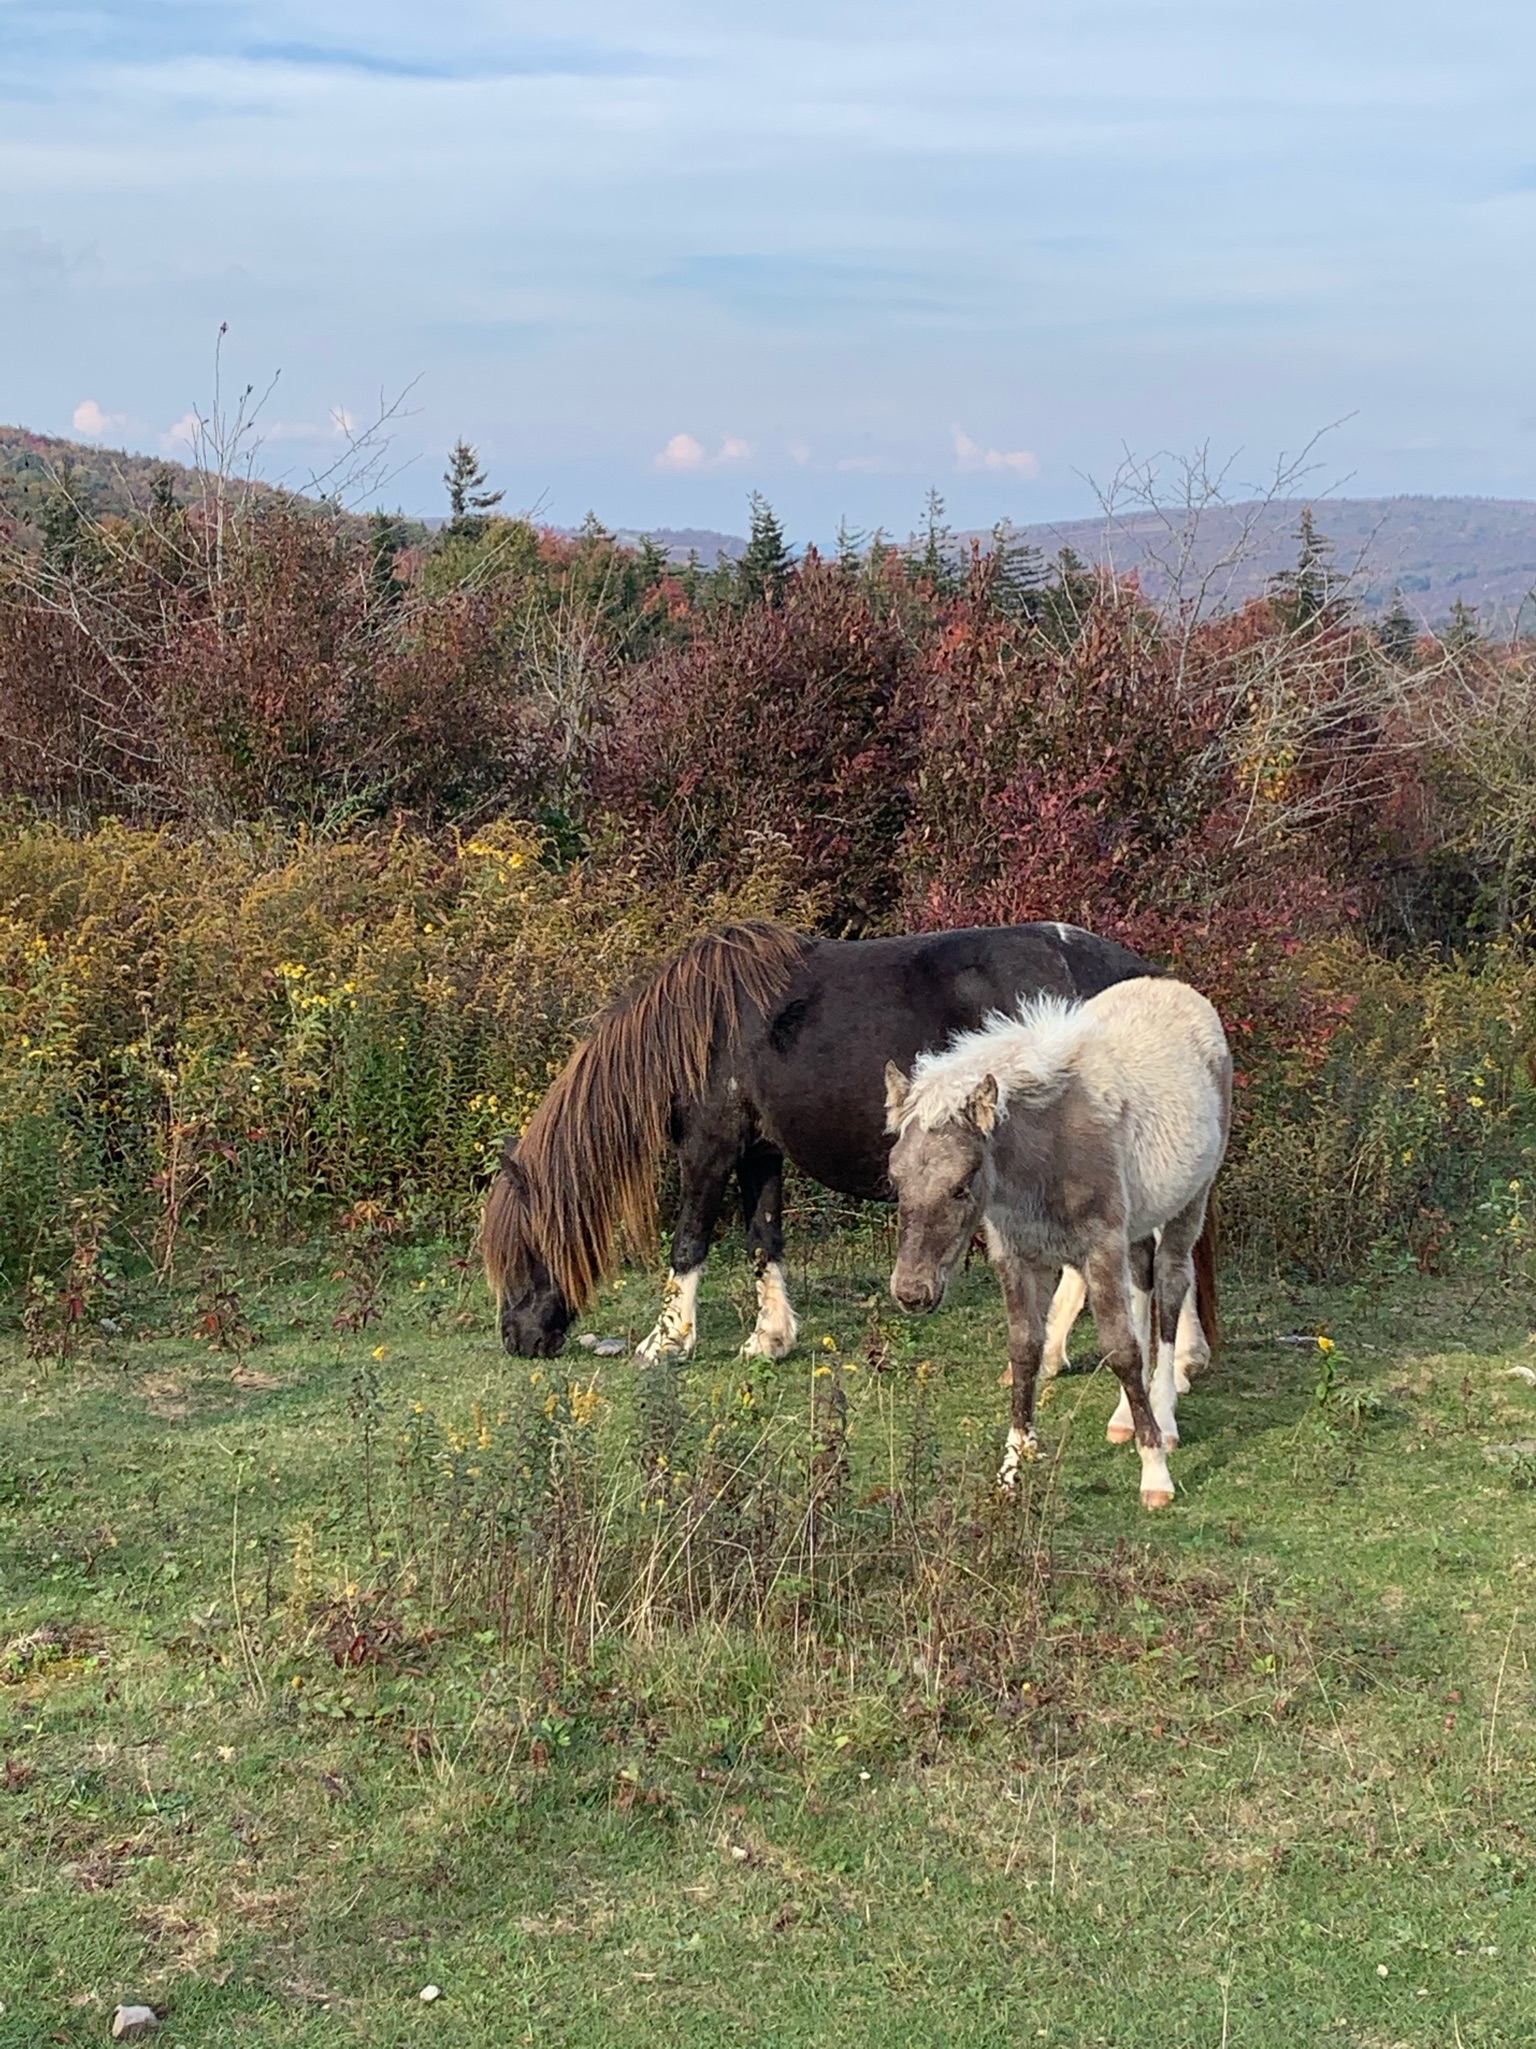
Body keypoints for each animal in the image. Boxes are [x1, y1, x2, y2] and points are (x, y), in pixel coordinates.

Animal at [481, 919, 1218, 1371]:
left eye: (523, 1253)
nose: (516, 1339)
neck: (706, 1028)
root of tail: (1129, 971)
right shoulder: (760, 1152)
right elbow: (764, 1238)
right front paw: (769, 1339)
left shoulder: (710, 1148)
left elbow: (690, 1240)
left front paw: (666, 1341)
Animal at [883, 975, 1231, 1510]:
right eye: (895, 1179)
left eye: (962, 1184)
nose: (911, 1293)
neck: (1043, 1158)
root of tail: (1171, 985)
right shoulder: (1018, 1257)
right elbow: (1025, 1348)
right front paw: (1009, 1473)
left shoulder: (1099, 1247)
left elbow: (1121, 1349)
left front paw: (1155, 1474)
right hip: (1136, 1224)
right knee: (1143, 1278)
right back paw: (1125, 1417)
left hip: (1189, 1201)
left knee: (1171, 1287)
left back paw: (1165, 1416)